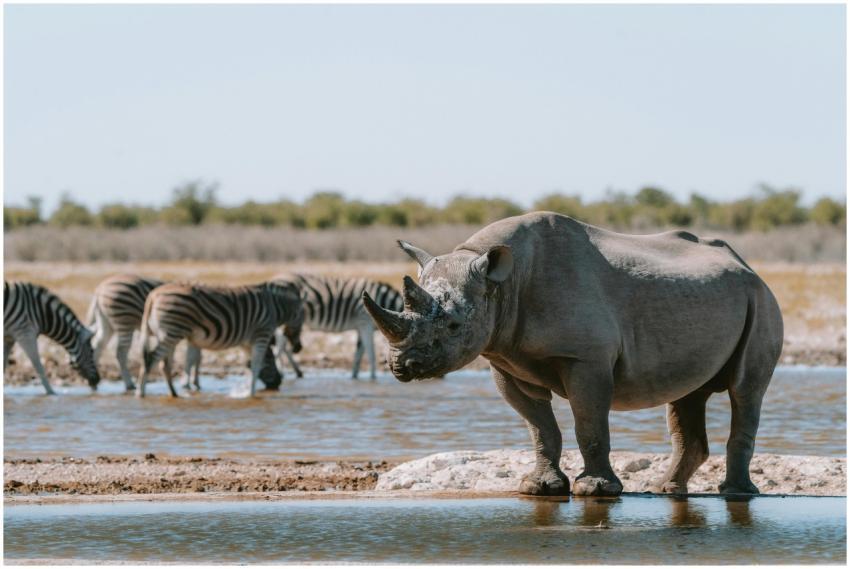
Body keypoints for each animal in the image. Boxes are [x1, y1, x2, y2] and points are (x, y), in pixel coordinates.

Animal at [363, 212, 783, 496]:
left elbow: (589, 423)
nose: (402, 366)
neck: (502, 285)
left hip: (760, 299)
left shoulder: (586, 359)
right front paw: (539, 487)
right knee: (687, 396)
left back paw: (735, 494)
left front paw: (595, 490)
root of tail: (747, 265)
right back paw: (665, 489)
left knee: (745, 391)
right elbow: (539, 426)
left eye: (452, 326)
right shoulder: (506, 360)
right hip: (710, 298)